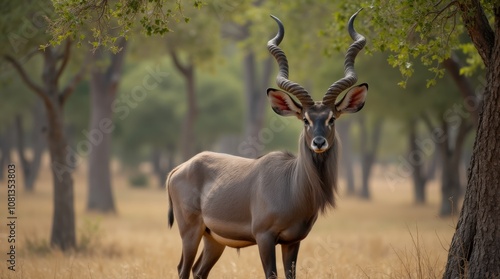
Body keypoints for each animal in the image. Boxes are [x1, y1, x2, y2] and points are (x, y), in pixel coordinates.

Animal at [168, 9, 368, 279]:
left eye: (332, 118)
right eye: (305, 119)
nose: (319, 142)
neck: (292, 185)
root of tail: (180, 168)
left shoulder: (293, 241)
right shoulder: (265, 238)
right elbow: (271, 274)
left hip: (214, 240)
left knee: (199, 271)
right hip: (191, 232)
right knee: (183, 268)